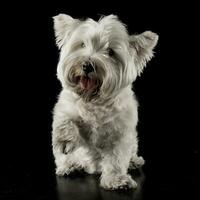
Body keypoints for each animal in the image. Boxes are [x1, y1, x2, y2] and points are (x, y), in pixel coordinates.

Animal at [51, 13, 158, 190]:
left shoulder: (120, 133)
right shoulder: (66, 106)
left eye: (110, 52)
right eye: (82, 44)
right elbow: (65, 120)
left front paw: (116, 179)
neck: (93, 99)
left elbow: (116, 158)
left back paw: (133, 161)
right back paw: (70, 165)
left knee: (131, 152)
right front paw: (65, 141)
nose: (87, 65)